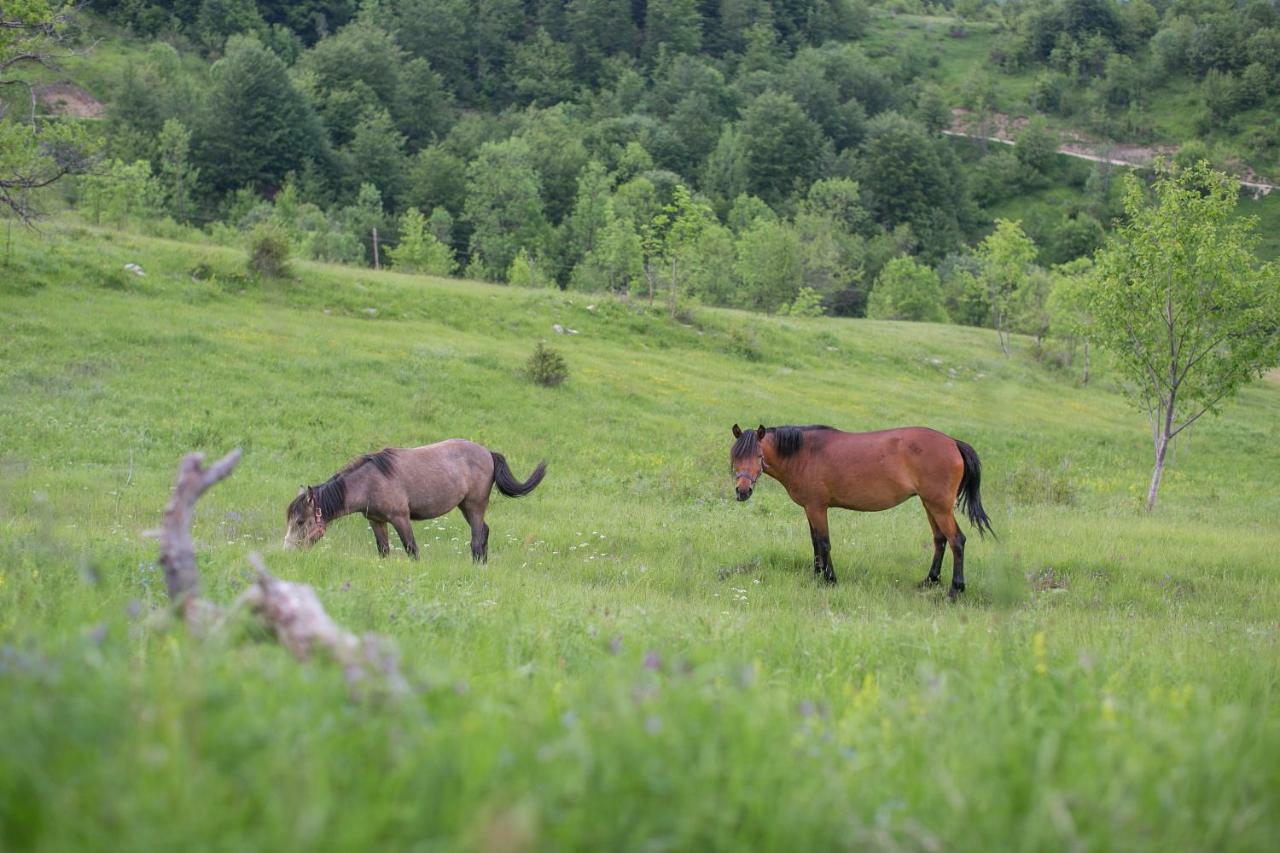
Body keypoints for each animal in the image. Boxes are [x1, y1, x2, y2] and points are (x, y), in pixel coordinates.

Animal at [285, 438, 545, 558]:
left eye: (300, 521)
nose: (287, 550)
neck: (370, 482)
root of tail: (488, 453)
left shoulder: (401, 518)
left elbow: (412, 549)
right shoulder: (376, 521)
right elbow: (383, 550)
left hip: (475, 506)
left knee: (477, 538)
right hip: (465, 507)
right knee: (484, 533)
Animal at [732, 422, 988, 594]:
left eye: (758, 455)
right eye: (734, 456)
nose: (742, 491)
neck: (805, 453)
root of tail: (953, 442)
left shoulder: (817, 507)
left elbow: (823, 543)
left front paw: (829, 580)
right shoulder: (810, 509)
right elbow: (815, 543)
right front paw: (817, 576)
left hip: (939, 506)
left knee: (957, 541)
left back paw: (955, 590)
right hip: (930, 504)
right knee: (940, 540)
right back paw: (929, 581)